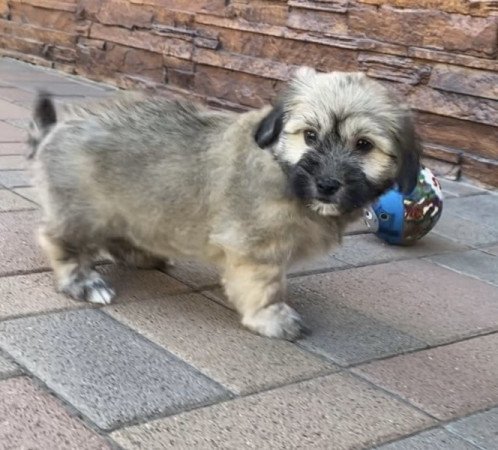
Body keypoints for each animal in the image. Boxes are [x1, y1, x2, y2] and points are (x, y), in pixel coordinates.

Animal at [29, 67, 420, 342]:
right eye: (310, 136)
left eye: (364, 145)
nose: (327, 184)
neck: (280, 166)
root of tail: (55, 131)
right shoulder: (256, 249)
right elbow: (266, 286)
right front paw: (271, 316)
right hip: (84, 211)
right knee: (60, 241)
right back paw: (83, 282)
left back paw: (141, 255)